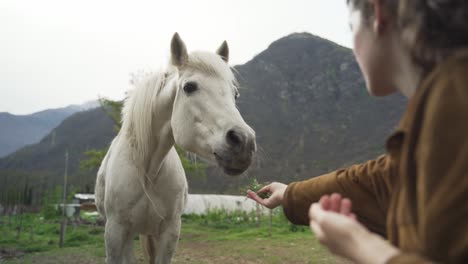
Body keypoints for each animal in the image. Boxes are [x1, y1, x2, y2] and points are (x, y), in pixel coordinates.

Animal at [94, 33, 256, 264]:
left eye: (235, 94)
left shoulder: (170, 231)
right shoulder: (115, 231)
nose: (244, 142)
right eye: (189, 87)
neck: (148, 170)